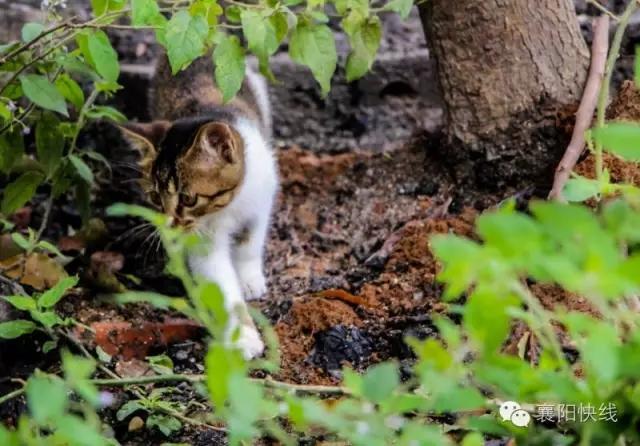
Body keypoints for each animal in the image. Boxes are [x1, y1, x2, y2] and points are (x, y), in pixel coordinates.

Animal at [120, 53, 278, 358]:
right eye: (155, 198)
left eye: (188, 199)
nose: (170, 226)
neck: (228, 207)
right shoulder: (202, 240)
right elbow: (220, 283)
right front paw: (243, 338)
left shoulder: (262, 197)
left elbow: (250, 241)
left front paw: (250, 279)